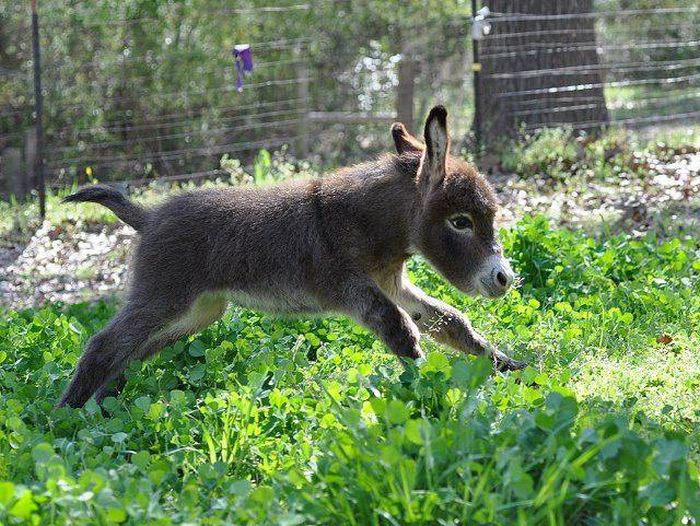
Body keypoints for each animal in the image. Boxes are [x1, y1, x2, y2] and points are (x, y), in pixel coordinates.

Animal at [57, 107, 524, 410]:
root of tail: (148, 216)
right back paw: (63, 419)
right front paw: (430, 387)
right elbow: (400, 330)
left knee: (131, 351)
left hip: (196, 313)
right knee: (104, 344)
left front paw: (507, 367)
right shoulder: (354, 289)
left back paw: (103, 408)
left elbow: (450, 321)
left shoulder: (393, 282)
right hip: (164, 298)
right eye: (461, 222)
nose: (504, 278)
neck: (367, 223)